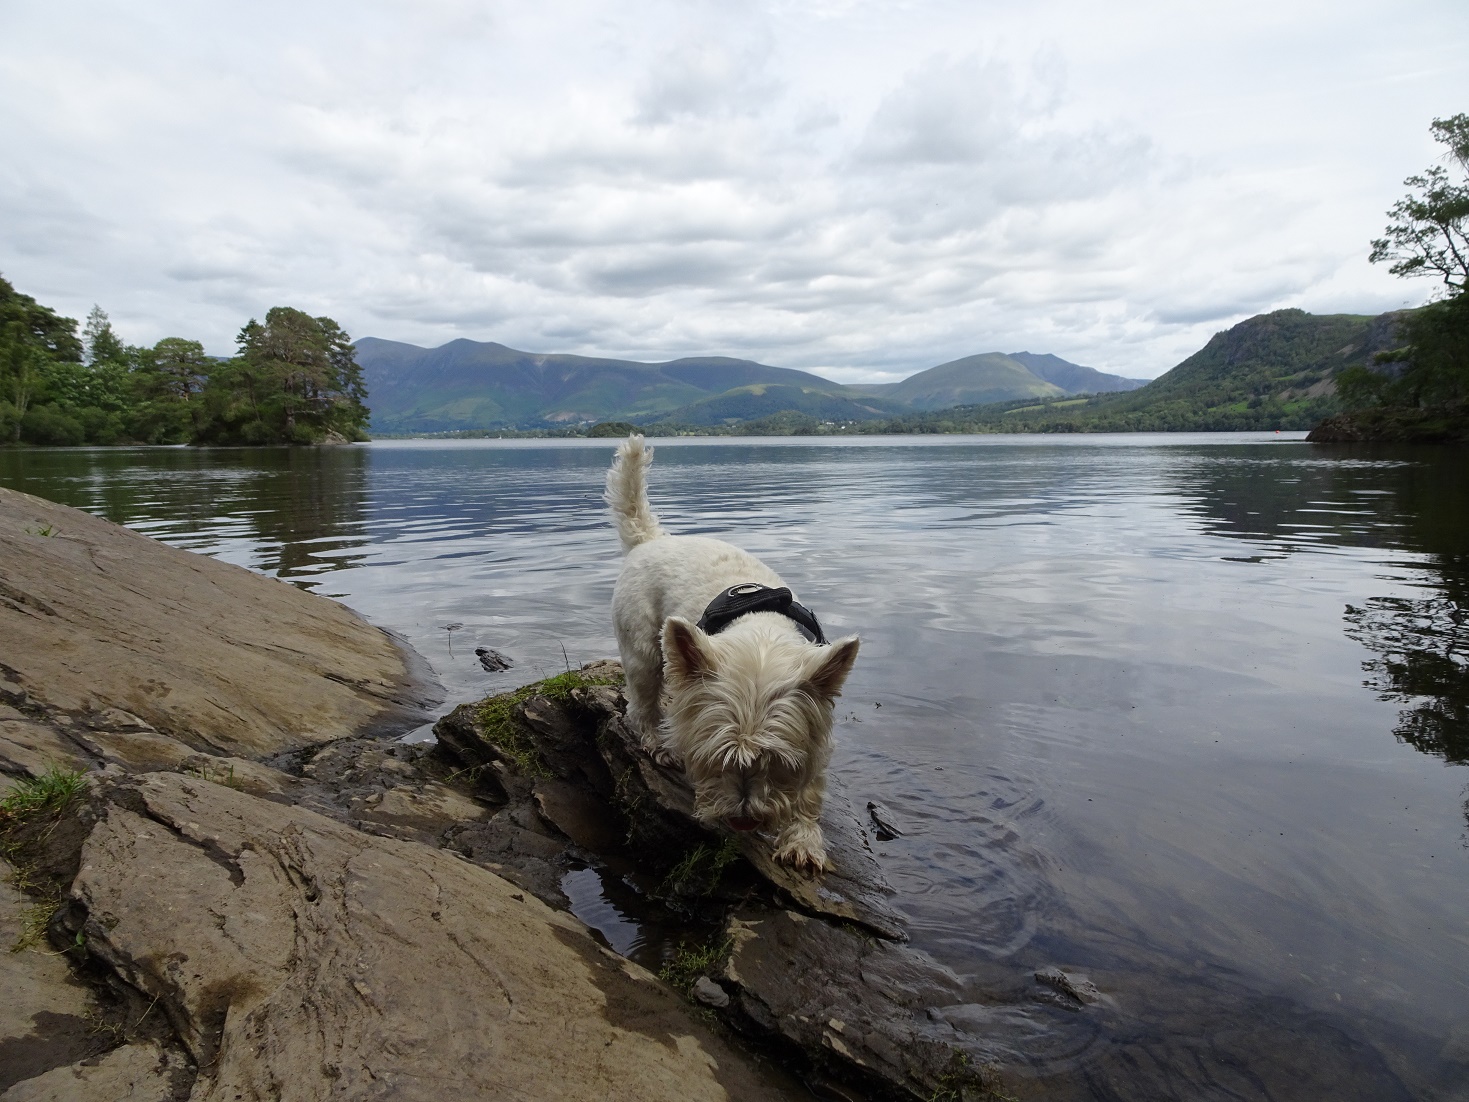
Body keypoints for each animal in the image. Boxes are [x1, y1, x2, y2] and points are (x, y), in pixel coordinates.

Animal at [605, 434, 857, 875]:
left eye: (777, 761)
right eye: (714, 757)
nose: (743, 819)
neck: (760, 639)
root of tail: (651, 540)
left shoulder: (815, 725)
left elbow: (810, 788)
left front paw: (802, 841)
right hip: (642, 650)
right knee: (642, 703)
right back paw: (657, 742)